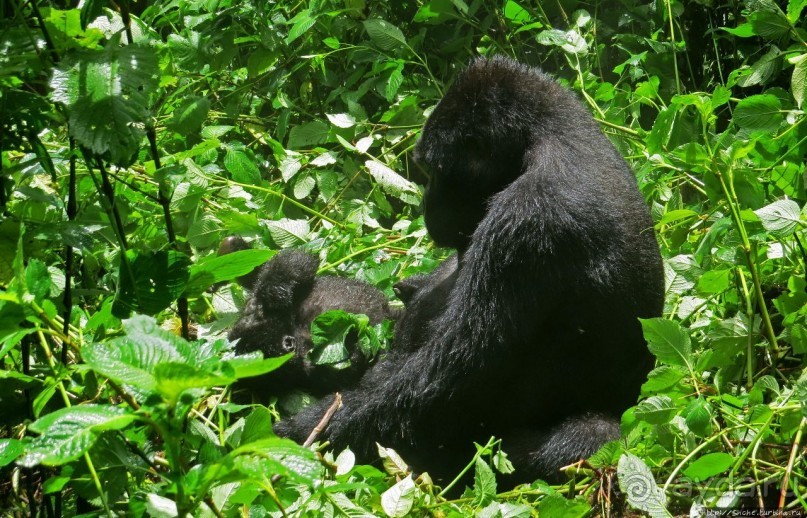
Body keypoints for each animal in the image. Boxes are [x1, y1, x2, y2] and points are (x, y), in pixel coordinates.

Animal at [223, 240, 400, 398]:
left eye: (253, 315)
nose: (252, 309)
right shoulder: (307, 368)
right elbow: (349, 365)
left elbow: (292, 263)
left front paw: (273, 294)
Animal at [274, 54, 664, 486]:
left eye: (434, 171)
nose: (426, 205)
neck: (550, 137)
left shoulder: (528, 221)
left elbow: (439, 391)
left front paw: (294, 431)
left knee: (589, 435)